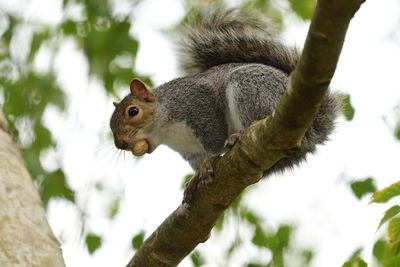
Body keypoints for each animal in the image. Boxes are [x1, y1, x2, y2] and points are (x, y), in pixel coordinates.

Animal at [110, 8, 340, 201]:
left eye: (133, 111)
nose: (120, 143)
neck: (166, 129)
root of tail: (310, 124)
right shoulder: (190, 151)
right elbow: (196, 163)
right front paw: (195, 179)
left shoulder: (198, 105)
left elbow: (214, 138)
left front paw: (210, 162)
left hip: (250, 90)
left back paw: (239, 136)